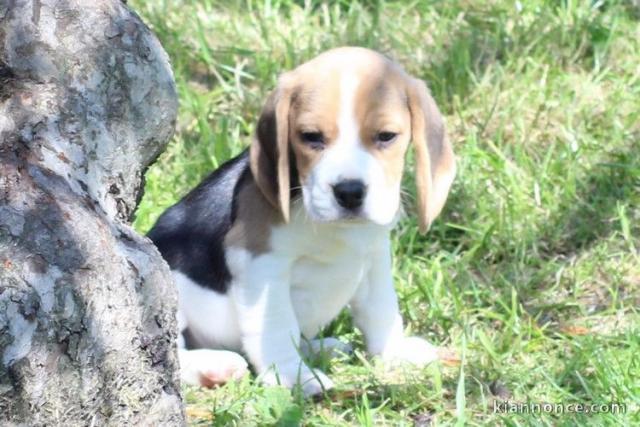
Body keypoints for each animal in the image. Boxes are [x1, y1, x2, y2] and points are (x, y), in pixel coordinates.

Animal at [148, 45, 458, 396]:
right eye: (311, 137)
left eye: (387, 136)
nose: (349, 192)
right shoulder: (260, 264)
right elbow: (277, 328)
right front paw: (293, 377)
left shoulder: (375, 255)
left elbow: (381, 308)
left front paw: (393, 353)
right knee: (174, 351)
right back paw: (212, 367)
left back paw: (323, 348)